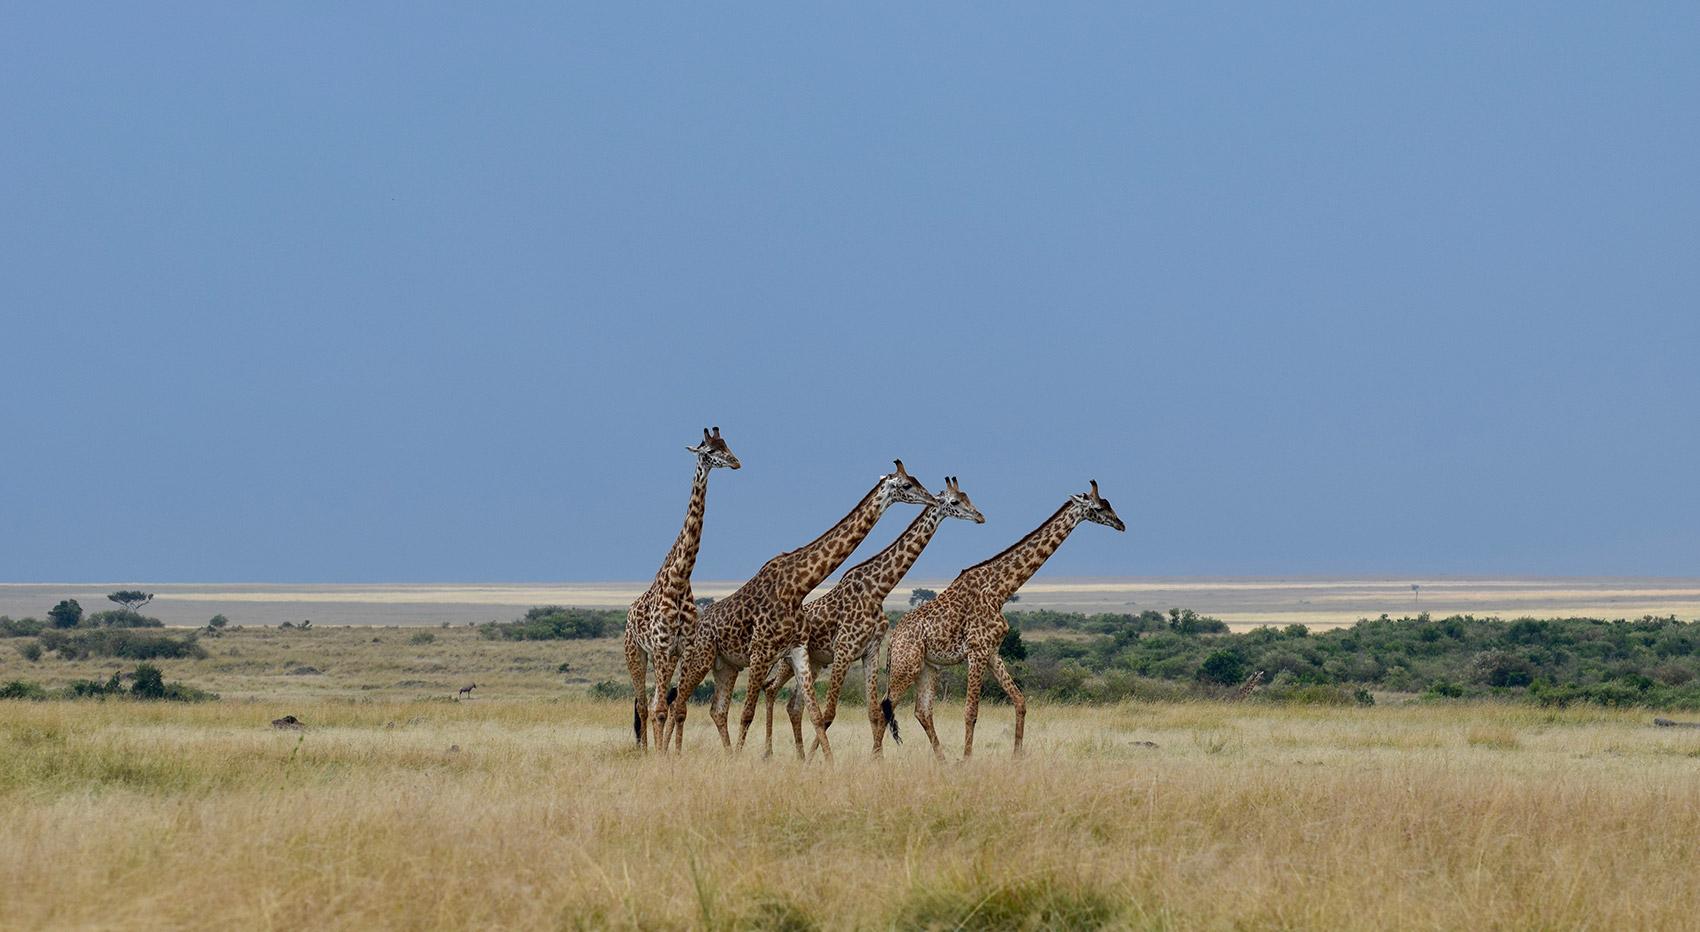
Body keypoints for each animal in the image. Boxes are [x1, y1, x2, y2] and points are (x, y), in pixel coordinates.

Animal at [622, 426, 740, 750]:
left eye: (727, 445)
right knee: (643, 705)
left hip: (665, 657)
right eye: (709, 452)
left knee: (653, 703)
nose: (736, 463)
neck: (680, 579)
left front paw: (674, 753)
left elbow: (679, 709)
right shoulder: (661, 648)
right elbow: (660, 709)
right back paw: (645, 751)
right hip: (636, 653)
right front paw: (661, 756)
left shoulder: (684, 648)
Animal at [658, 460, 936, 761]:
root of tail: (694, 626)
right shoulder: (764, 651)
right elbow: (749, 713)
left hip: (728, 666)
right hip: (703, 658)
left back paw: (725, 753)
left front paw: (829, 763)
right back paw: (674, 755)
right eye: (907, 484)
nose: (932, 499)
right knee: (680, 702)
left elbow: (821, 714)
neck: (797, 585)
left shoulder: (804, 650)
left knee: (717, 710)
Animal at [760, 476, 985, 760]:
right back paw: (771, 753)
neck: (877, 588)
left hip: (813, 662)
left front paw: (876, 758)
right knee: (771, 689)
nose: (980, 516)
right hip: (789, 661)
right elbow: (829, 713)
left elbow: (873, 712)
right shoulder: (844, 650)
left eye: (967, 497)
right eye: (956, 501)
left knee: (793, 706)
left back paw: (798, 756)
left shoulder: (871, 650)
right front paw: (820, 759)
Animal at [877, 480, 1125, 759]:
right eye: (1098, 507)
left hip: (928, 668)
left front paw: (1016, 755)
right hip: (905, 665)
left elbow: (1020, 700)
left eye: (1108, 503)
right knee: (883, 707)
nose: (1120, 524)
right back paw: (878, 758)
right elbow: (971, 711)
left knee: (922, 711)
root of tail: (894, 639)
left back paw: (942, 760)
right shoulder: (977, 650)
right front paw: (967, 759)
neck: (1000, 590)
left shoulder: (993, 651)